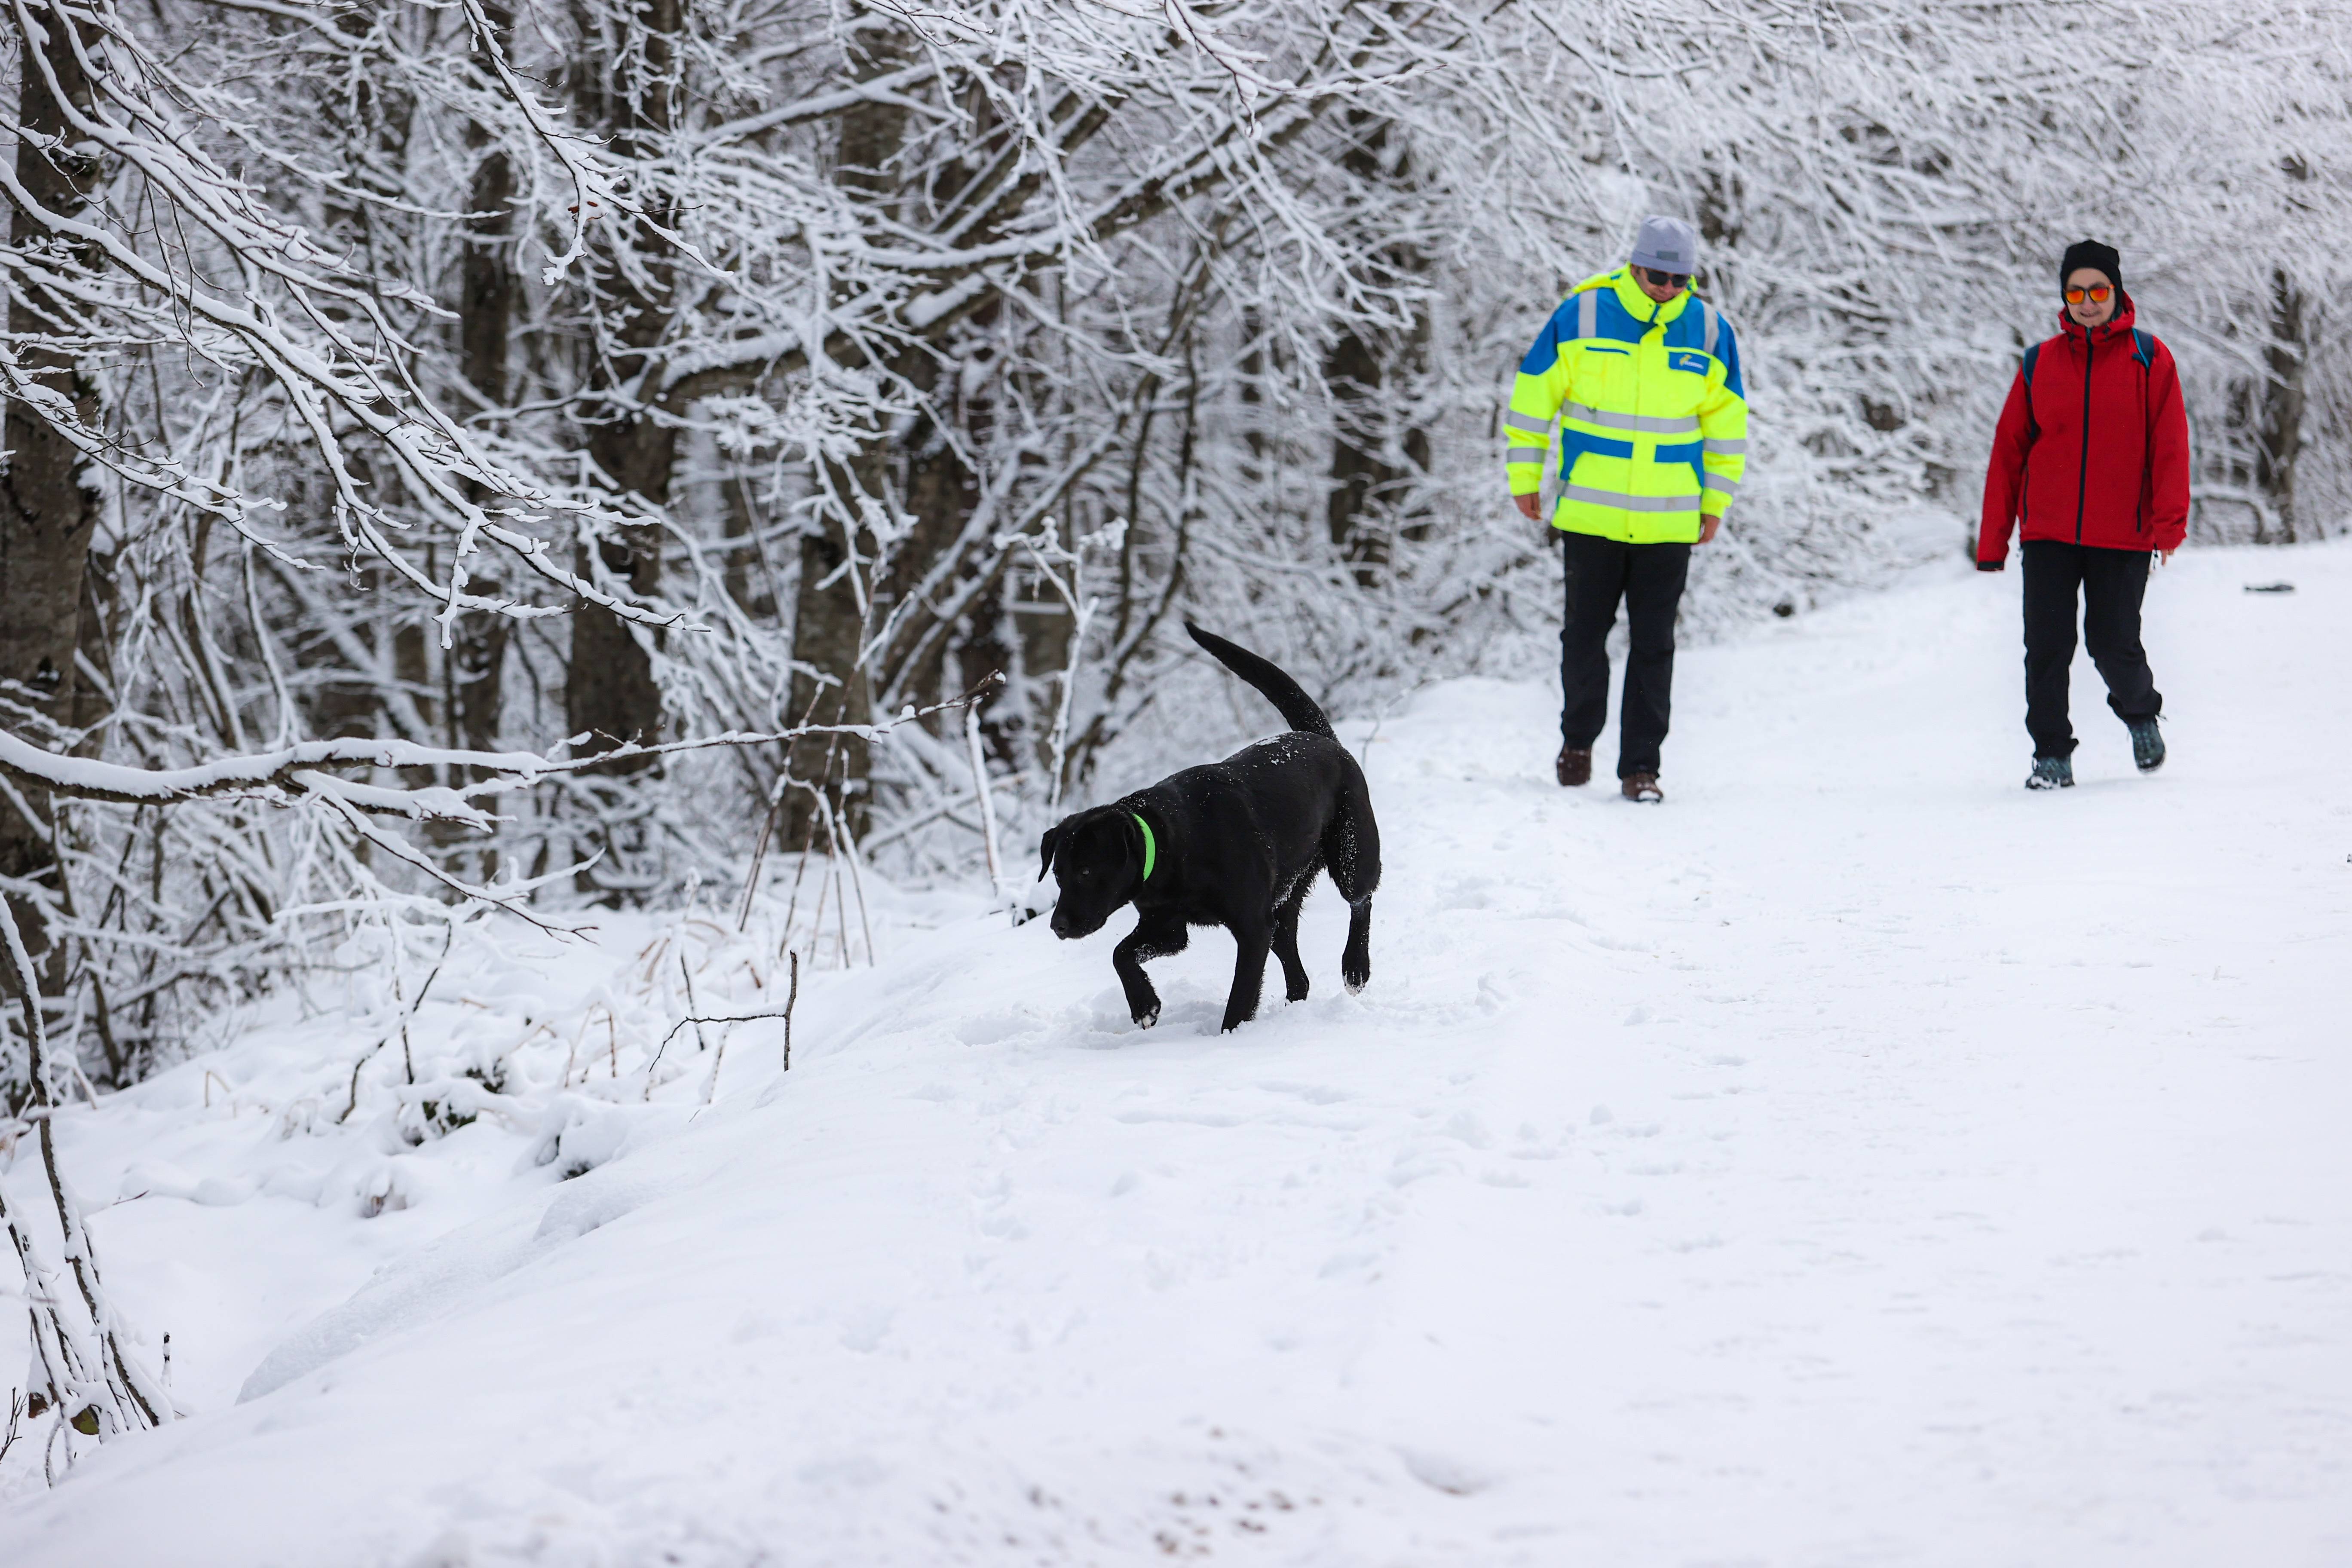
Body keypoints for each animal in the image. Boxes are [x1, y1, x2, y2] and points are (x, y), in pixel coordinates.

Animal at [1035, 620, 1373, 1034]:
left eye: (1085, 872)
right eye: (1057, 876)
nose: (1058, 926)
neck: (1174, 844)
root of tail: (1325, 739)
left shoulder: (1252, 927)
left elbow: (1241, 993)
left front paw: (1228, 1036)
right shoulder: (1166, 927)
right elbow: (1120, 954)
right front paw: (1144, 1006)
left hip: (1351, 855)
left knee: (1361, 902)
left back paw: (1355, 968)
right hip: (1282, 904)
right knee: (1298, 970)